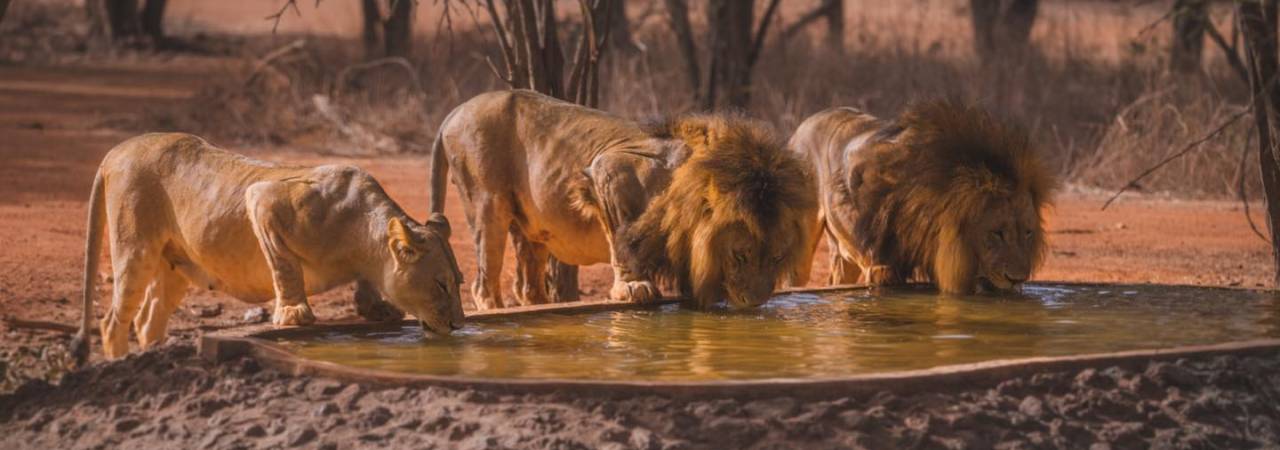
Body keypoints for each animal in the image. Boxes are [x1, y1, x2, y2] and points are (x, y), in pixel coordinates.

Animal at [71, 132, 465, 363]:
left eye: (458, 282)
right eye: (440, 284)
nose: (459, 325)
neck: (360, 238)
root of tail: (116, 150)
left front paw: (377, 307)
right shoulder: (263, 199)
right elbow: (284, 264)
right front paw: (294, 313)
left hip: (176, 267)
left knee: (147, 321)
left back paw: (151, 355)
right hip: (135, 249)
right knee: (112, 322)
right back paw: (119, 364)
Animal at [430, 90, 808, 310]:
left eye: (777, 256)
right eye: (740, 254)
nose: (755, 302)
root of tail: (451, 114)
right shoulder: (610, 168)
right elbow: (621, 238)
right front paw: (632, 287)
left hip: (528, 227)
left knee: (526, 280)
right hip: (486, 204)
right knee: (483, 282)